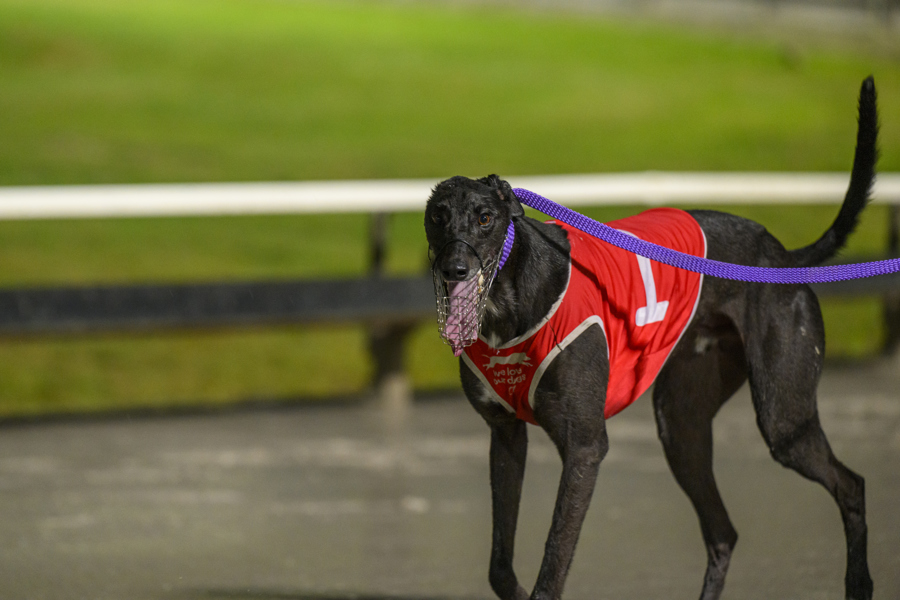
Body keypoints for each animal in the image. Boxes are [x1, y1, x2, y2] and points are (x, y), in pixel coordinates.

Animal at [424, 76, 878, 600]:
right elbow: (500, 567)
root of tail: (782, 257)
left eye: (484, 217)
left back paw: (859, 582)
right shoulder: (505, 435)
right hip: (681, 425)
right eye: (437, 216)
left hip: (784, 418)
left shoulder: (584, 446)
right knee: (723, 532)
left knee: (850, 485)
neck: (508, 302)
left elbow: (553, 564)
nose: (454, 269)